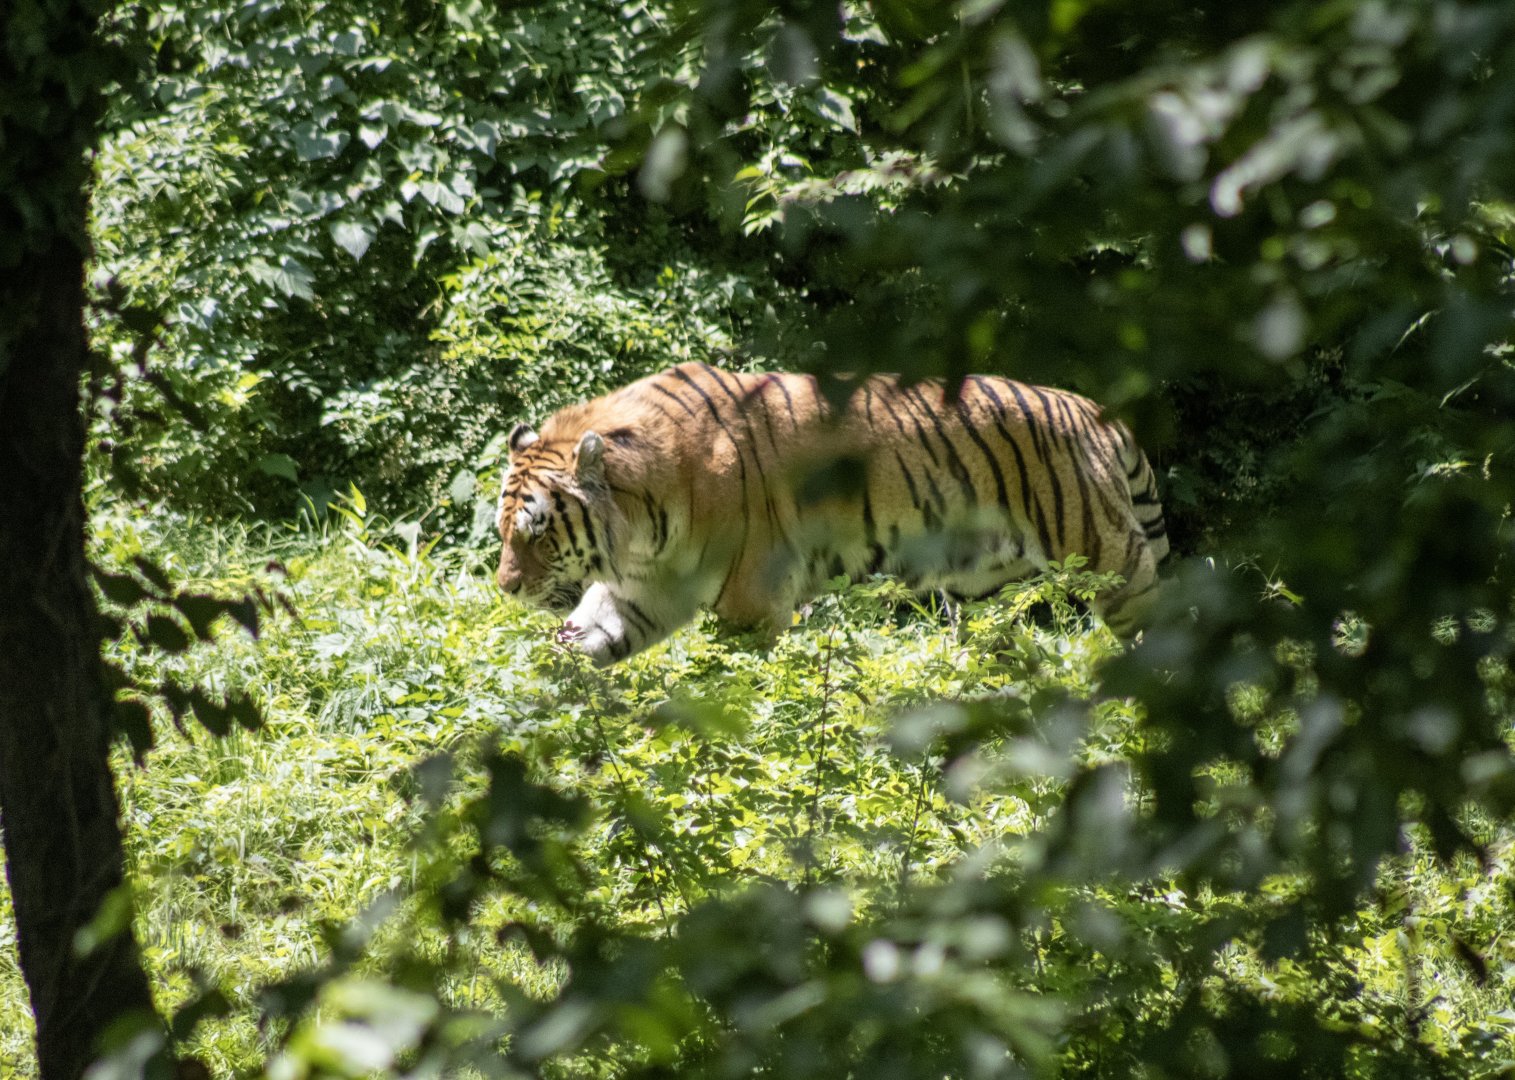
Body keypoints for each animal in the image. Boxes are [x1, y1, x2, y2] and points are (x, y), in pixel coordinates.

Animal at [495, 362, 1168, 666]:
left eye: (538, 533)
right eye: (504, 532)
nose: (505, 589)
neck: (641, 527)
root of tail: (1094, 411)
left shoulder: (751, 603)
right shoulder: (639, 593)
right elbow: (573, 648)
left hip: (1108, 555)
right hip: (982, 591)